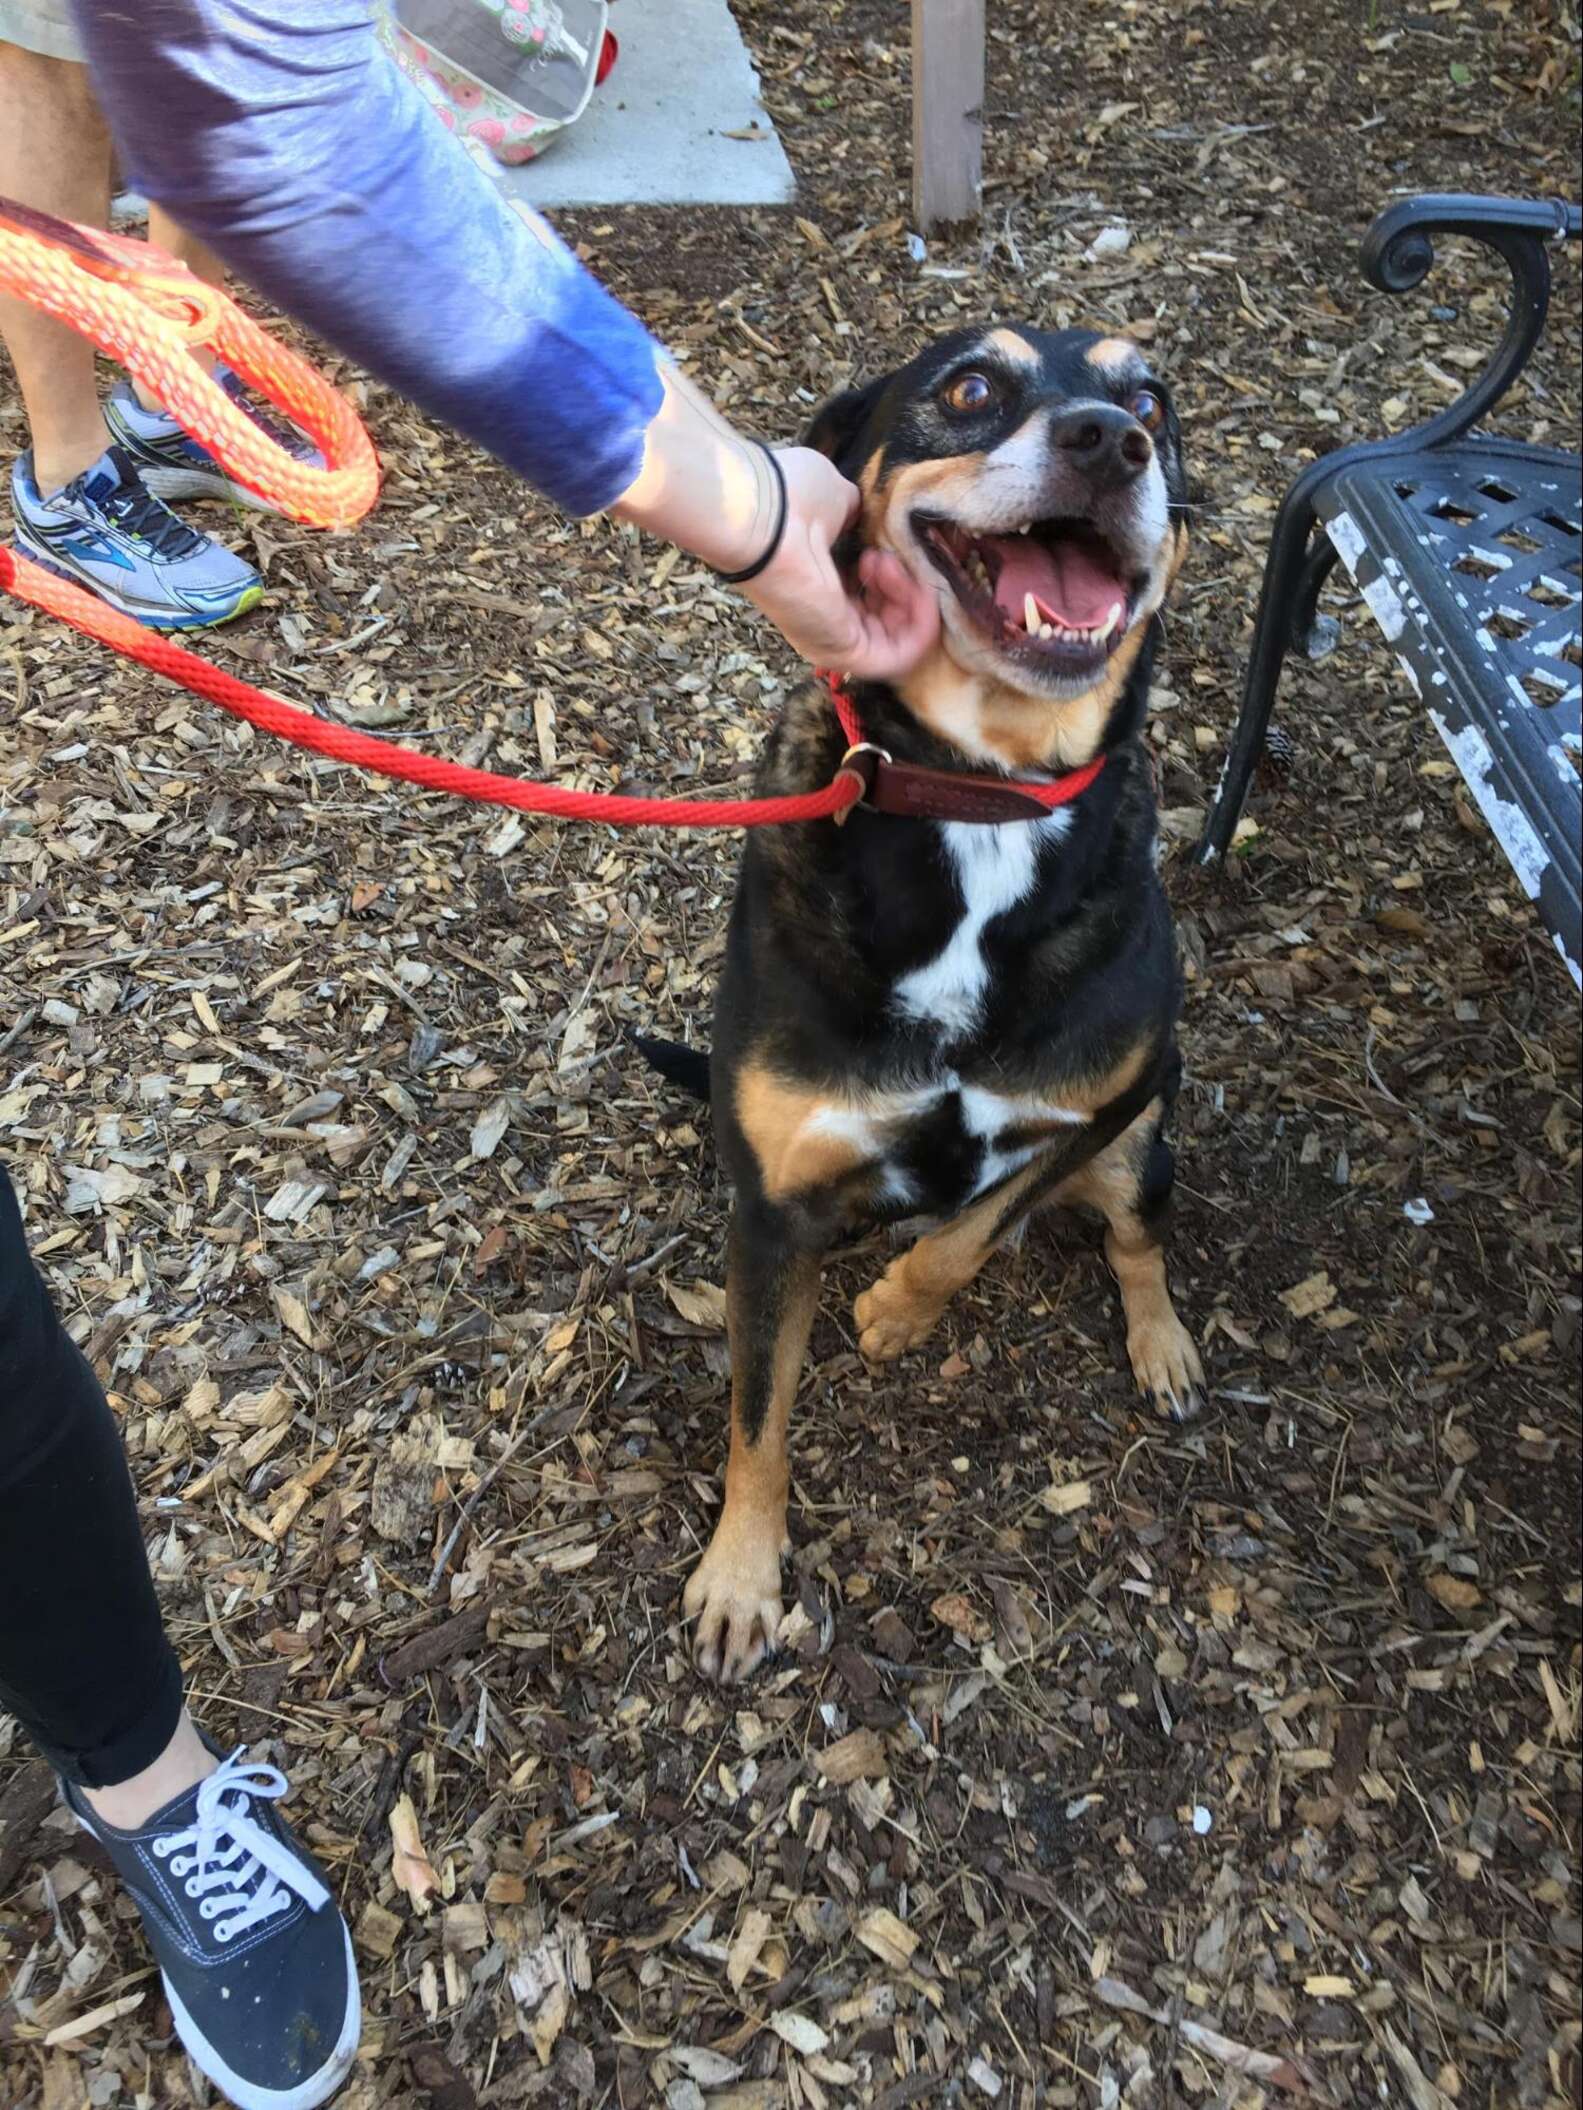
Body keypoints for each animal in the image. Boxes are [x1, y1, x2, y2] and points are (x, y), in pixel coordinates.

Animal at [645, 324, 1198, 1679]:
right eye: (970, 387)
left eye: (1154, 397)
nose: (1111, 437)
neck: (982, 794)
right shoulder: (770, 1207)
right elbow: (756, 1411)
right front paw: (740, 1574)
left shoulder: (1104, 1107)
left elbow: (974, 1230)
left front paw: (897, 1308)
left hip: (1146, 1141)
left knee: (1130, 1231)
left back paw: (1159, 1342)